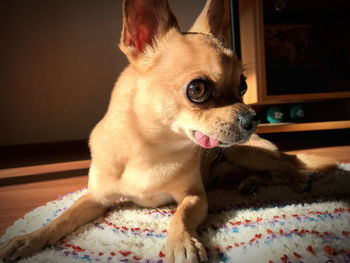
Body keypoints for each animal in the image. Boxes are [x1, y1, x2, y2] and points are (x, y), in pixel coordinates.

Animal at [0, 1, 336, 262]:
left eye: (242, 86)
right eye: (197, 89)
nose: (253, 118)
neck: (150, 148)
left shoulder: (194, 196)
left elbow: (180, 215)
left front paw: (182, 243)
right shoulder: (96, 197)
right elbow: (63, 217)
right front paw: (28, 238)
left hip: (244, 153)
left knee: (289, 164)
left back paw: (300, 179)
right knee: (263, 172)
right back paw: (249, 185)